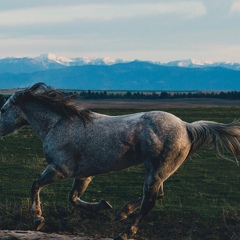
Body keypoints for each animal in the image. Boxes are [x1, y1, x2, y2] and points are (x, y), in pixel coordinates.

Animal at [0, 82, 240, 238]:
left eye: (3, 110)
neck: (58, 124)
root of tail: (186, 126)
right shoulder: (84, 175)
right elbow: (73, 198)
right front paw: (103, 206)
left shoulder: (60, 169)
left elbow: (35, 185)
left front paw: (38, 219)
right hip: (159, 171)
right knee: (156, 195)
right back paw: (122, 212)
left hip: (157, 171)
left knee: (150, 201)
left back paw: (126, 231)